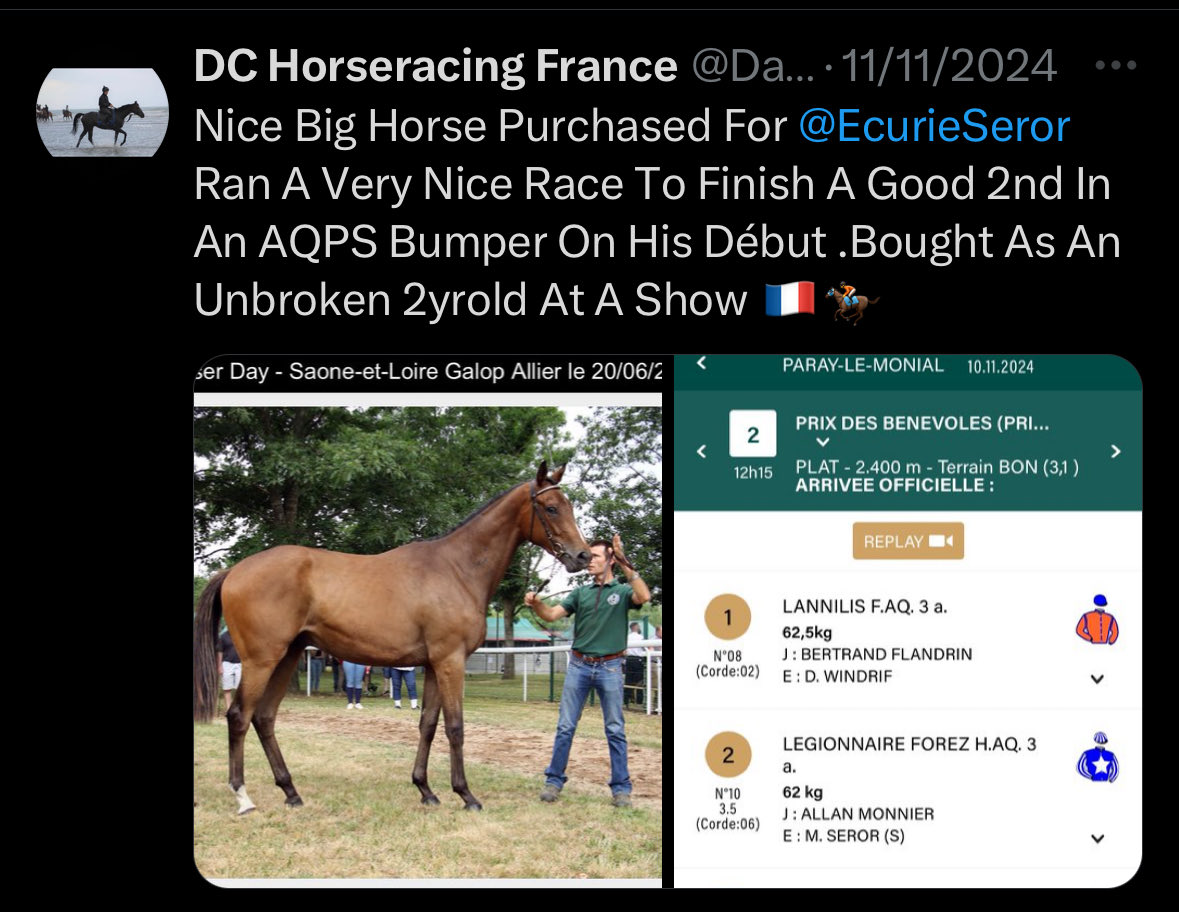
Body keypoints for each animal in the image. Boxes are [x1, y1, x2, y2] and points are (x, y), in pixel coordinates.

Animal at [193, 461, 592, 815]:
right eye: (552, 507)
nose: (583, 555)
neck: (457, 568)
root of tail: (234, 570)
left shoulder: (433, 665)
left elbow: (428, 724)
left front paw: (426, 790)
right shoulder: (450, 661)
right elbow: (456, 727)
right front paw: (466, 795)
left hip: (287, 656)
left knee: (264, 718)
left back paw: (291, 792)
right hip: (261, 660)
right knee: (239, 716)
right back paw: (243, 796)